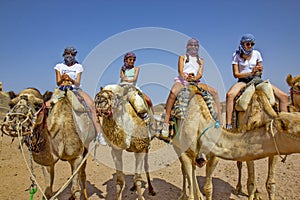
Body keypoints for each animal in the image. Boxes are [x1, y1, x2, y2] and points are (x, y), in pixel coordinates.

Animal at [171, 84, 300, 200]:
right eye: (297, 130)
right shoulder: (185, 153)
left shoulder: (214, 156)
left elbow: (208, 188)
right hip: (178, 148)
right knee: (185, 170)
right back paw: (183, 195)